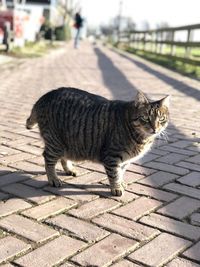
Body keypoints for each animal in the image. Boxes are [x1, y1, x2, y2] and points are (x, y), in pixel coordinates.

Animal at [25, 88, 170, 197]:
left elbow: (121, 172)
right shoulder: (112, 156)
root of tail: (46, 95)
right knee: (48, 159)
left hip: (66, 143)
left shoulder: (124, 161)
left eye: (161, 119)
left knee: (63, 158)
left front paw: (121, 183)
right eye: (145, 118)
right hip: (55, 143)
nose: (155, 128)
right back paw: (53, 179)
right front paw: (116, 188)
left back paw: (69, 169)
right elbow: (114, 174)